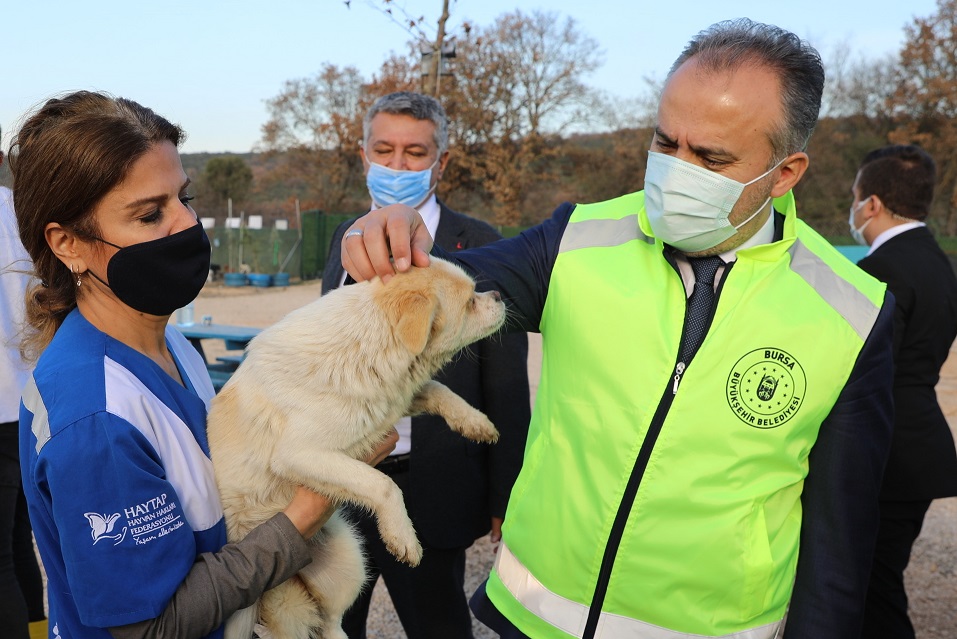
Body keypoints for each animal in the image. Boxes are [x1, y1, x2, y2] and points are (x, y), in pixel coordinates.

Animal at [209, 258, 508, 639]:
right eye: (470, 301)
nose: (498, 295)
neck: (363, 346)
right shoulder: (301, 454)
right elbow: (383, 484)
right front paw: (403, 537)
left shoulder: (391, 403)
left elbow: (438, 389)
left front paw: (476, 422)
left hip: (348, 560)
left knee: (331, 623)